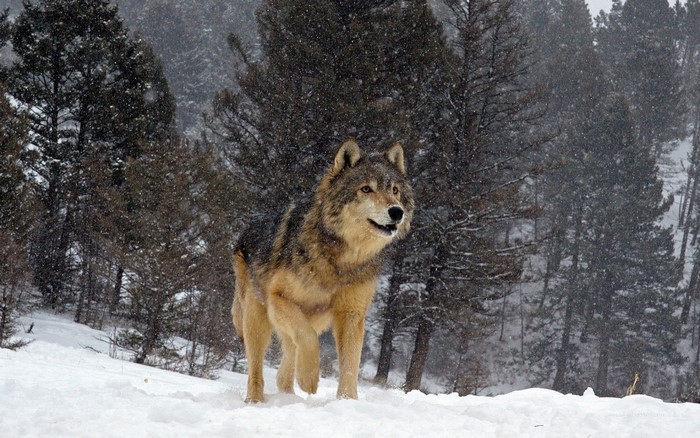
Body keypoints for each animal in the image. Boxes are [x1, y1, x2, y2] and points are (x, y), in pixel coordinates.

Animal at [231, 139, 414, 402]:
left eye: (394, 190)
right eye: (366, 189)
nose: (397, 211)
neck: (341, 261)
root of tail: (247, 229)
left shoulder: (351, 314)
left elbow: (350, 366)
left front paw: (347, 402)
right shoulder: (279, 299)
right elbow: (307, 337)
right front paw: (309, 378)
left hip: (311, 319)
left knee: (286, 363)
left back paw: (289, 396)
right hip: (257, 319)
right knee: (258, 367)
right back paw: (256, 400)